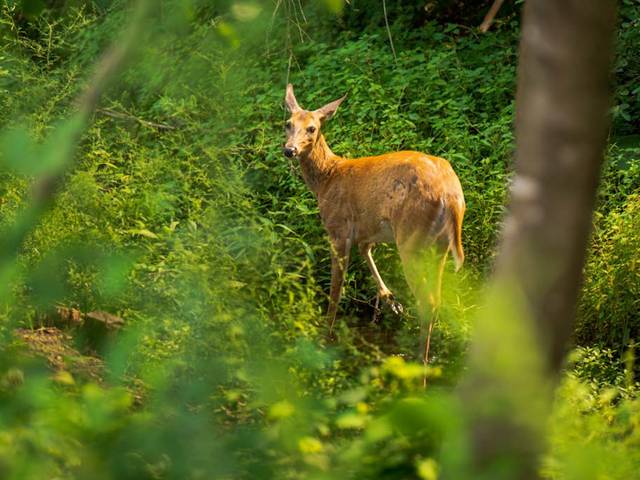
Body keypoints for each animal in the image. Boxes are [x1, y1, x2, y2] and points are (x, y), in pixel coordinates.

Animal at [284, 84, 464, 366]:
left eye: (312, 128)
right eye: (287, 124)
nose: (289, 150)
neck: (327, 178)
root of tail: (452, 197)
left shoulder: (338, 228)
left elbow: (336, 290)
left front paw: (325, 337)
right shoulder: (367, 228)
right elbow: (365, 250)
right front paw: (390, 299)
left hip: (411, 237)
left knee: (427, 300)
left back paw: (419, 361)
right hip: (440, 246)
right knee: (437, 299)